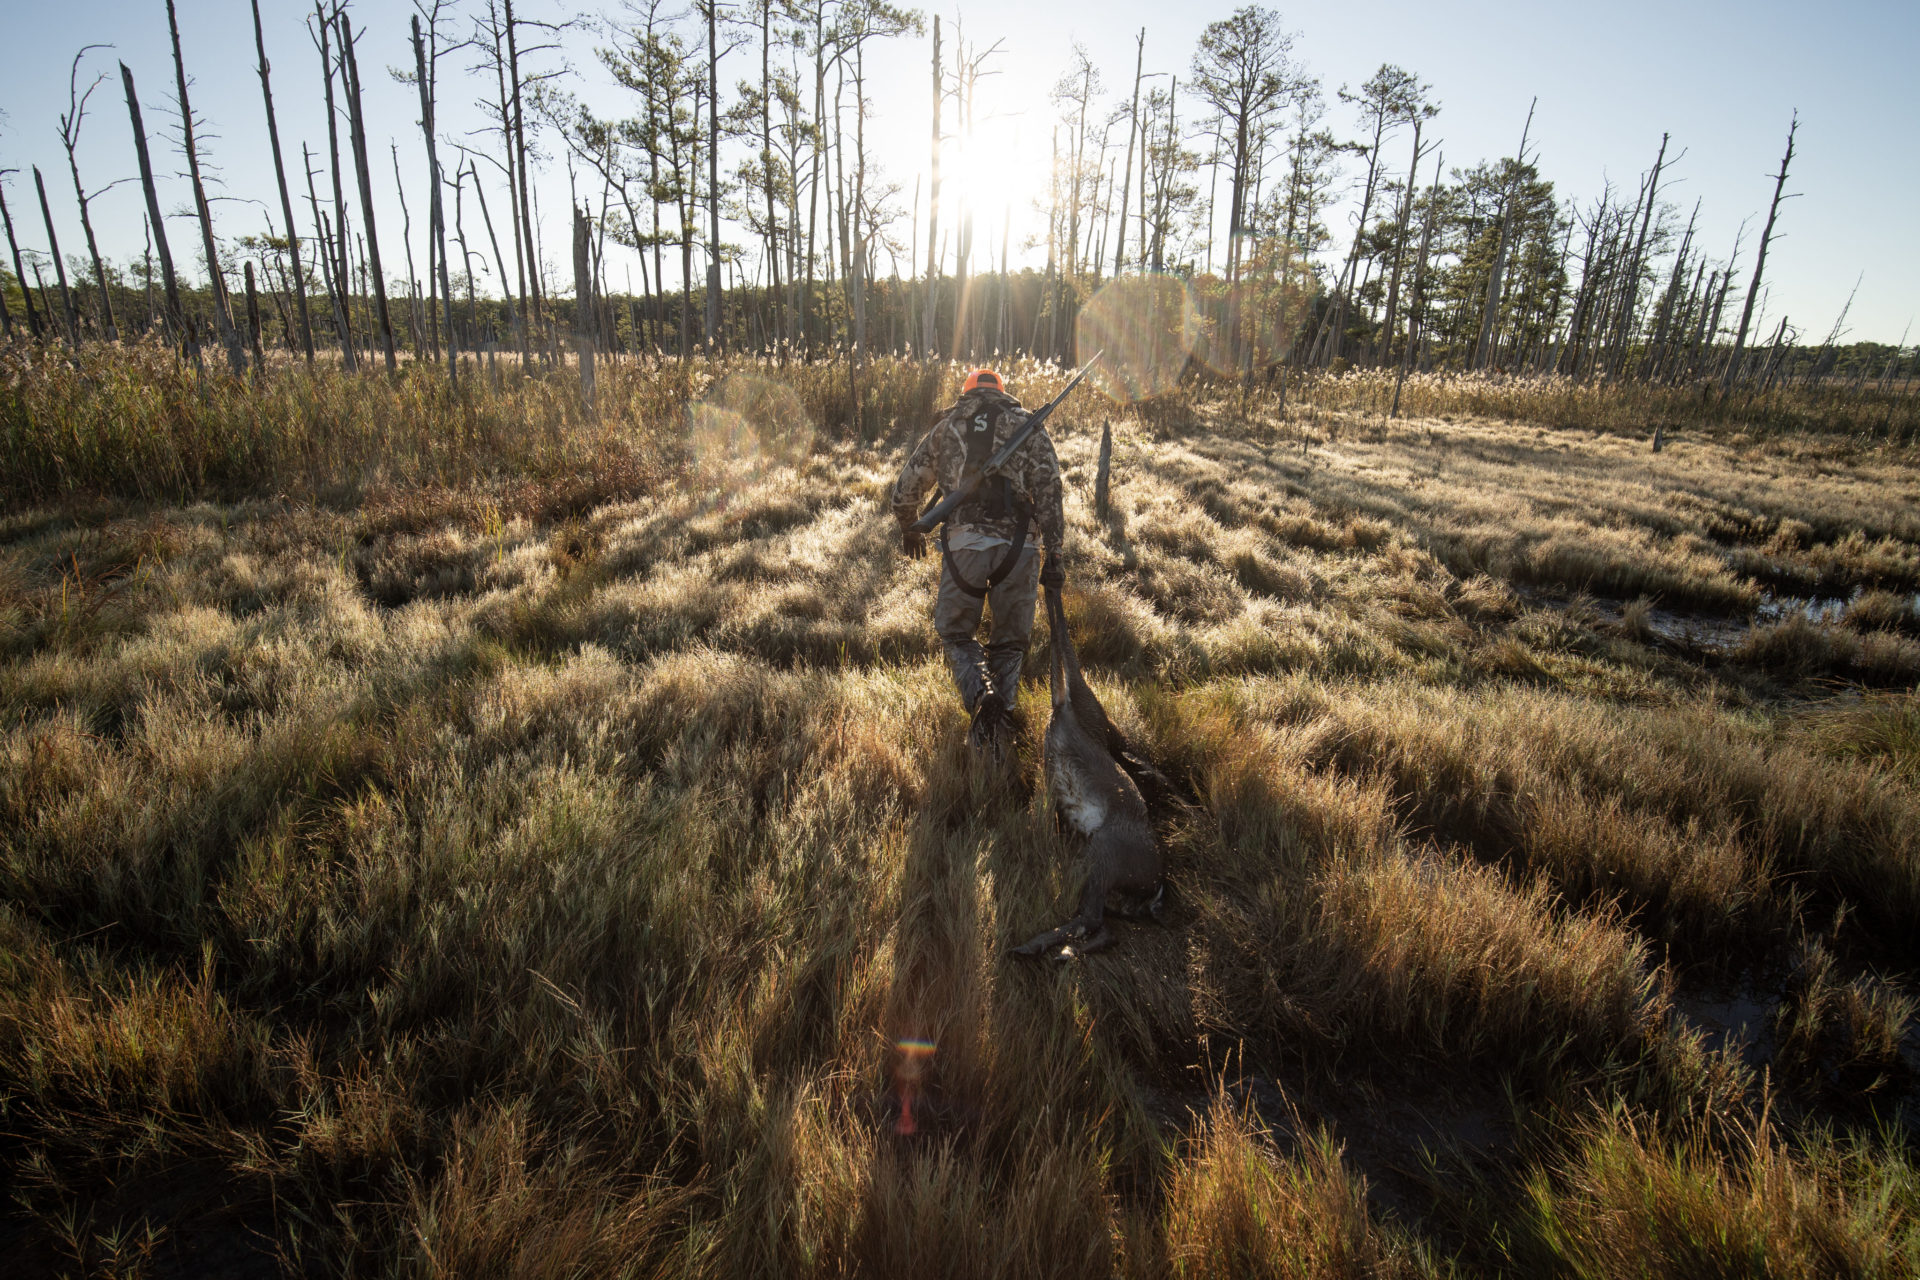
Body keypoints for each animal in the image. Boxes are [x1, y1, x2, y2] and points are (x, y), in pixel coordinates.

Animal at [1013, 587, 1159, 955]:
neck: (1065, 709)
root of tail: (1156, 888)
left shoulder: (1072, 689)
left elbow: (1059, 632)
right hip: (1105, 882)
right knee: (1106, 930)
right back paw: (1061, 952)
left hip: (1102, 856)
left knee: (1091, 918)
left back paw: (1032, 946)